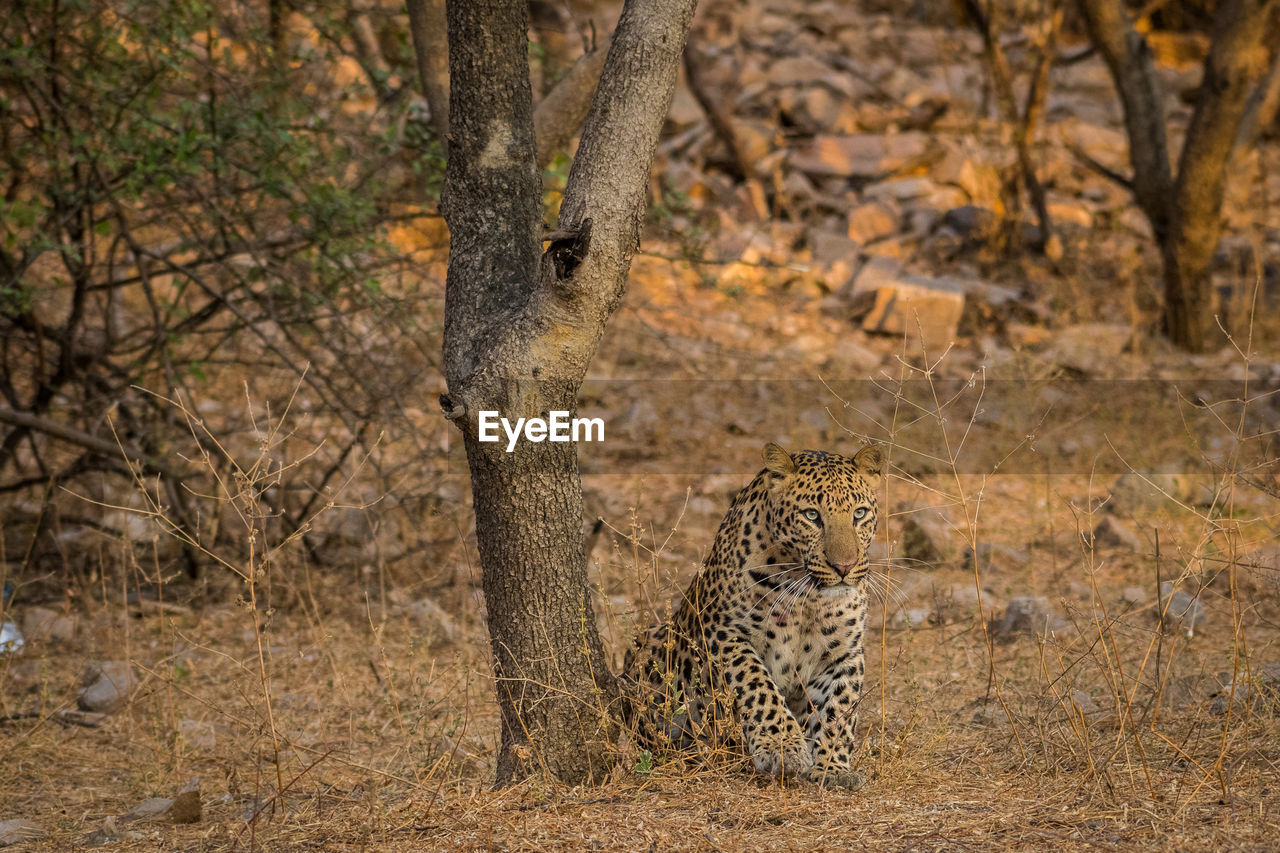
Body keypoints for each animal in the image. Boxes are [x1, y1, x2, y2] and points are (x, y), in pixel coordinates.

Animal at [622, 440, 885, 788]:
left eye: (859, 514)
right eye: (812, 515)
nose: (844, 568)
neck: (808, 596)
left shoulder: (845, 652)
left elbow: (837, 710)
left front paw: (832, 768)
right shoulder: (725, 633)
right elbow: (758, 686)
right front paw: (783, 749)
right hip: (649, 647)